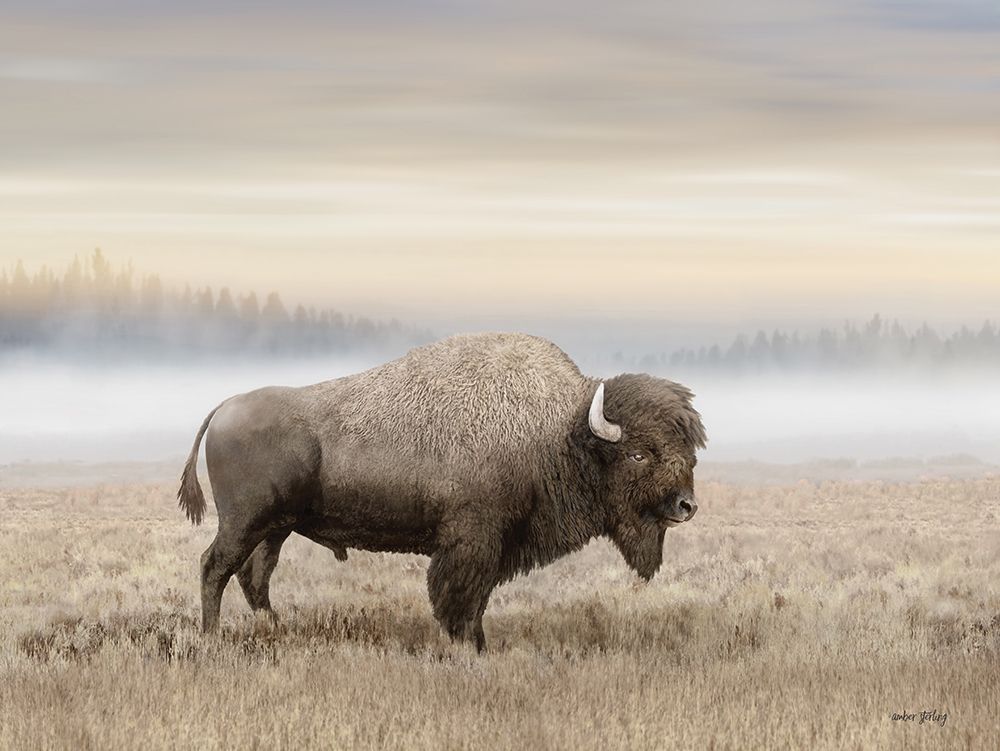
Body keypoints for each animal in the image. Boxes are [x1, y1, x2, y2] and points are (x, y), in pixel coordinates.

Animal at [178, 332, 706, 650]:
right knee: (215, 567)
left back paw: (275, 627)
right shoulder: (471, 542)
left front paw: (478, 645)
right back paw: (212, 636)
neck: (558, 430)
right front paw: (467, 646)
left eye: (689, 452)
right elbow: (459, 599)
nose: (686, 506)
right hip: (245, 522)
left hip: (276, 528)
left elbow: (476, 601)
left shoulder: (492, 548)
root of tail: (225, 407)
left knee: (255, 577)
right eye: (638, 454)